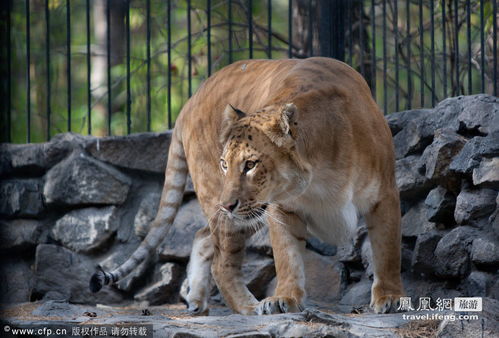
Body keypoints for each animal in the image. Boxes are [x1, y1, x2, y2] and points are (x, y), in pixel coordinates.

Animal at [91, 57, 406, 314]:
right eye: (224, 164)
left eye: (250, 164)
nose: (227, 204)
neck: (319, 175)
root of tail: (190, 101)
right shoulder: (281, 208)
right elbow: (287, 257)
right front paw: (283, 299)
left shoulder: (385, 195)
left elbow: (387, 250)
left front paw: (390, 299)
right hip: (230, 209)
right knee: (221, 263)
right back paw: (248, 307)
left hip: (241, 212)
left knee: (202, 236)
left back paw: (197, 302)